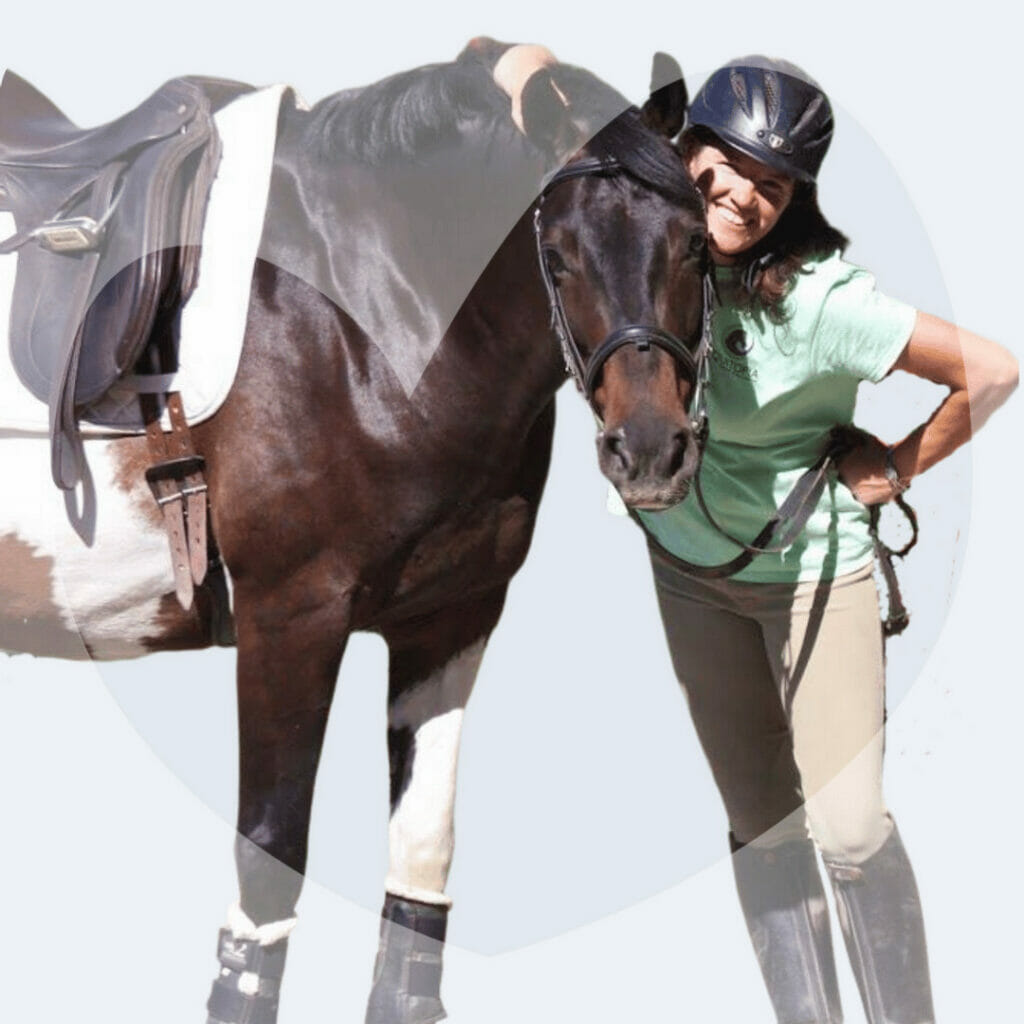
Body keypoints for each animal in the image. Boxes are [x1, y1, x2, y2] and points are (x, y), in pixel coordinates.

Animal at [0, 39, 707, 1024]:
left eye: (696, 245)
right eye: (559, 256)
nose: (649, 449)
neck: (360, 317)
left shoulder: (452, 620)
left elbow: (420, 865)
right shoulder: (289, 618)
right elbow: (267, 875)